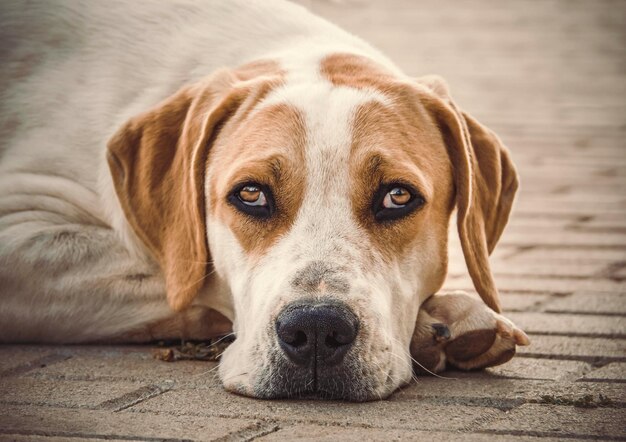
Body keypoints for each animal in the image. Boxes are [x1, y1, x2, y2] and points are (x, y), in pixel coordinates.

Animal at [0, 0, 528, 400]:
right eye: (250, 194)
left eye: (398, 197)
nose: (316, 330)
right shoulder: (19, 230)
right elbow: (182, 278)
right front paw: (436, 322)